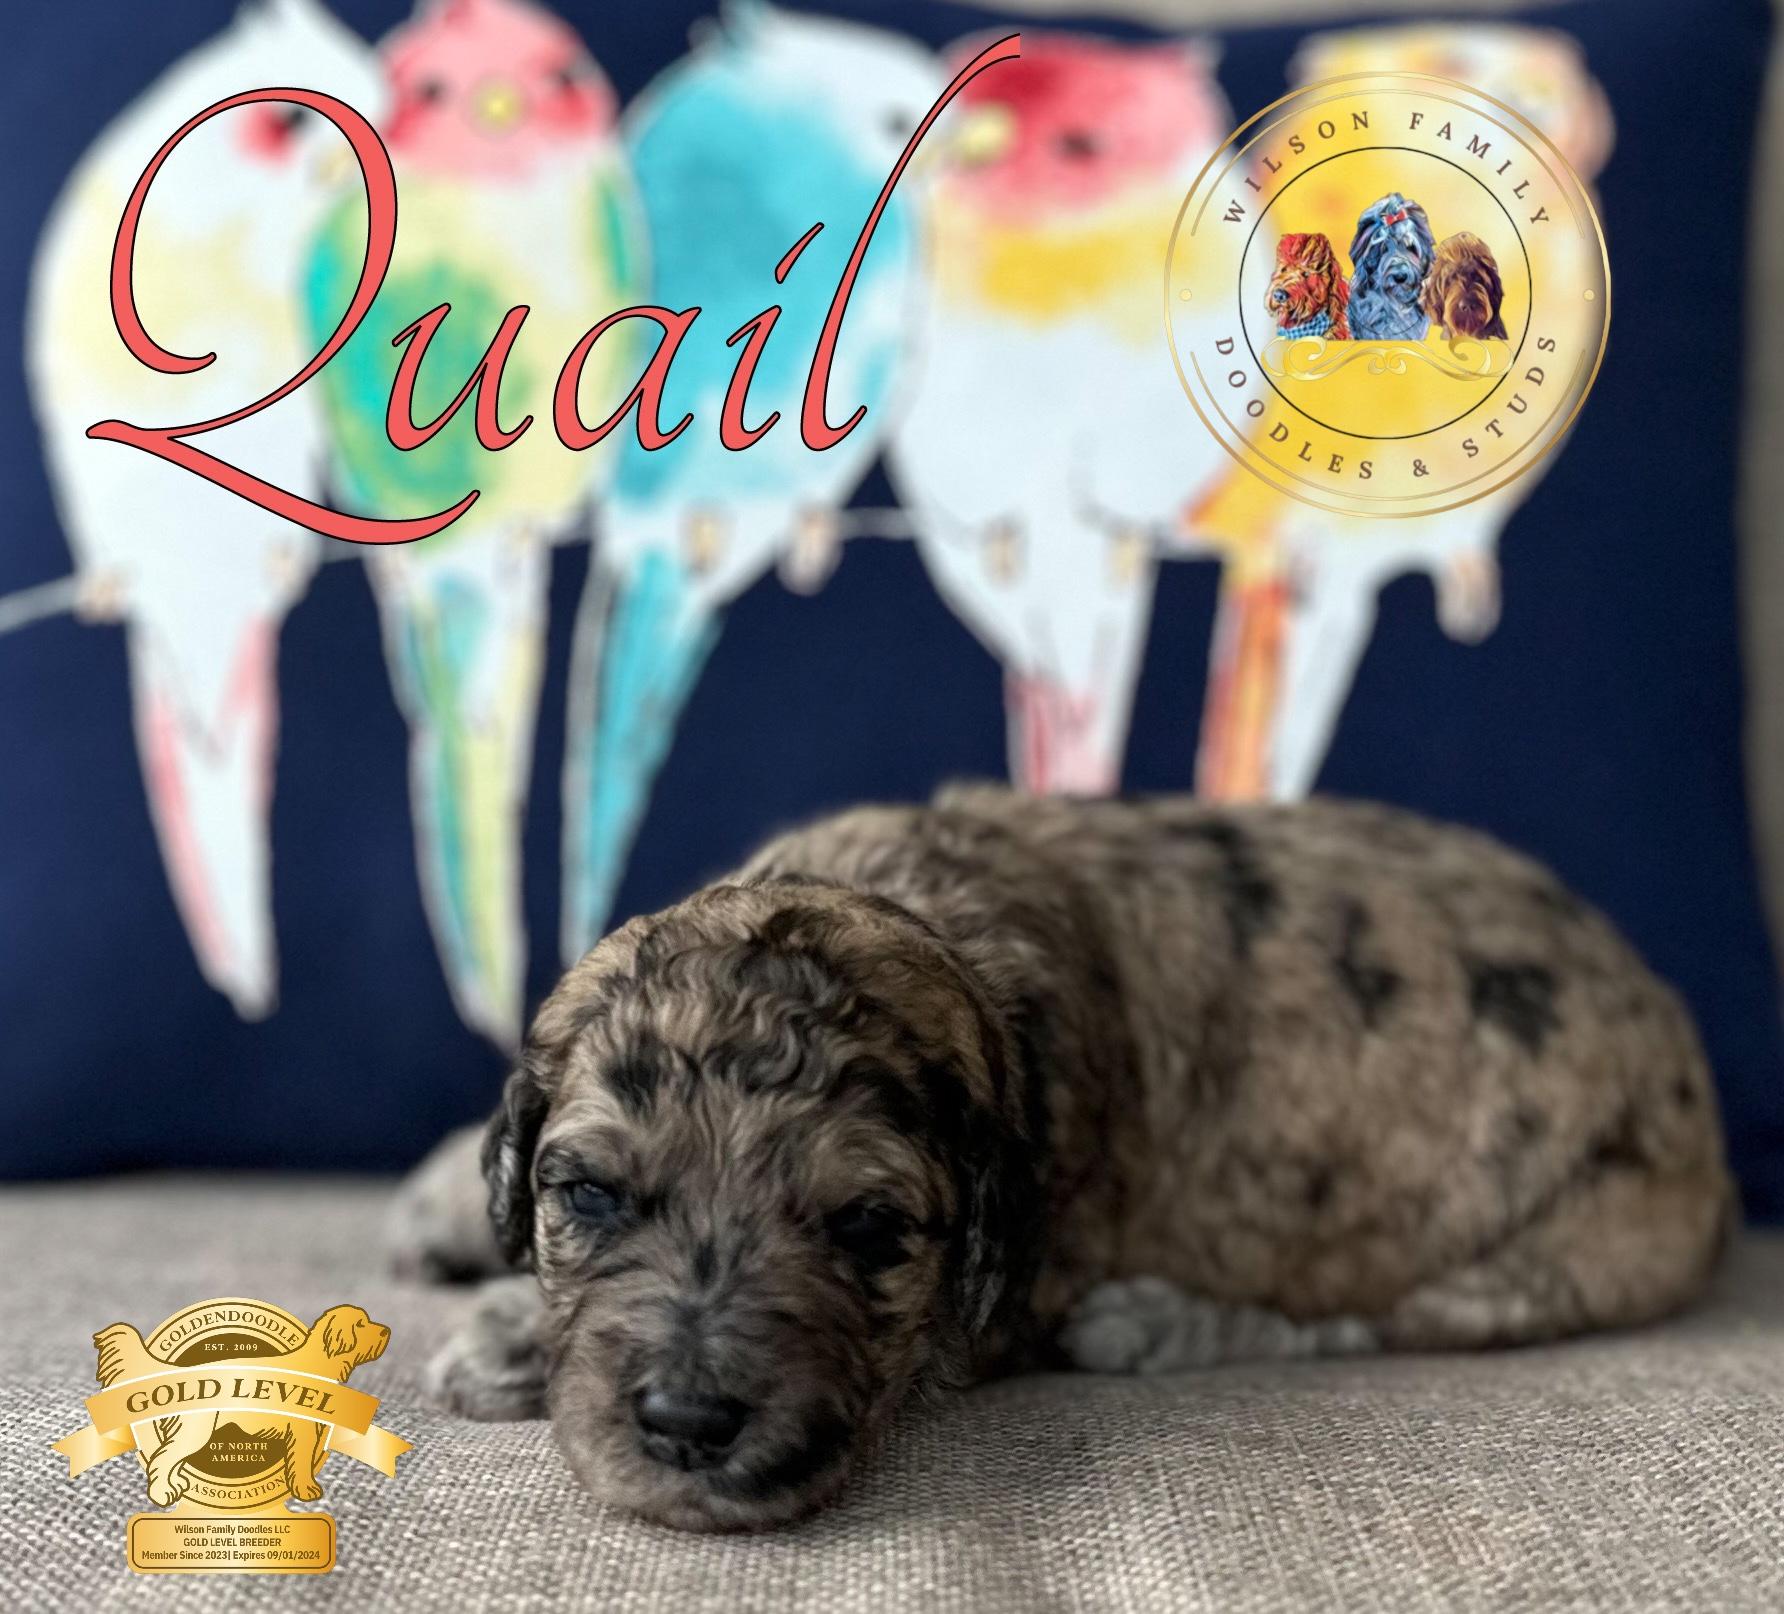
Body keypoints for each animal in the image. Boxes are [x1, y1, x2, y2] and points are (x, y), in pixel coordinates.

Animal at [95, 1304, 391, 1505]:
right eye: (360, 1324)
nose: (387, 1331)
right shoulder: (303, 1434)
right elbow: (301, 1465)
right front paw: (307, 1491)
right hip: (196, 1432)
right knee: (163, 1459)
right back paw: (163, 1493)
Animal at [393, 786, 1732, 1531]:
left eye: (868, 1232)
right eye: (588, 1195)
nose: (684, 1423)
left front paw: (505, 1338)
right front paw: (447, 1208)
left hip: (1558, 1243)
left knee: (1373, 1318)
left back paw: (1156, 1325)